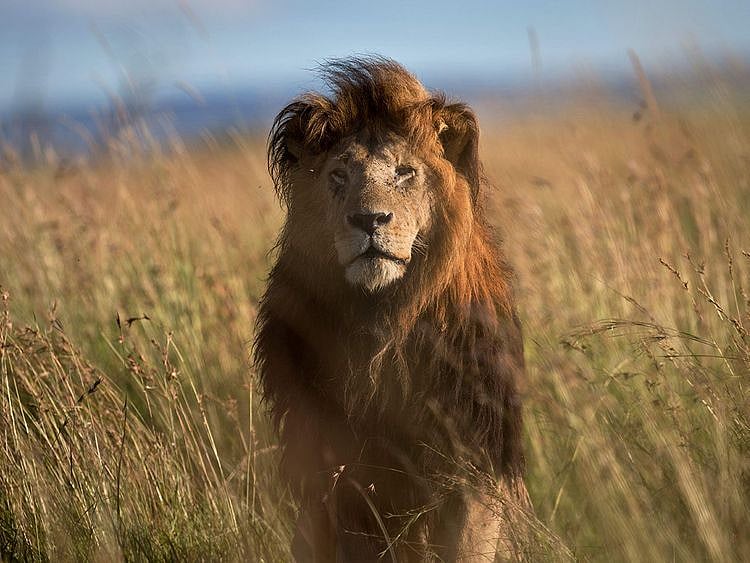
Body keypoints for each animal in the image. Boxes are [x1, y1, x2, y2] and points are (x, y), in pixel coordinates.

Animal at [254, 57, 531, 562]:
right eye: (339, 176)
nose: (368, 220)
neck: (381, 322)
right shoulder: (332, 472)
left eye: (404, 173)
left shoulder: (476, 463)